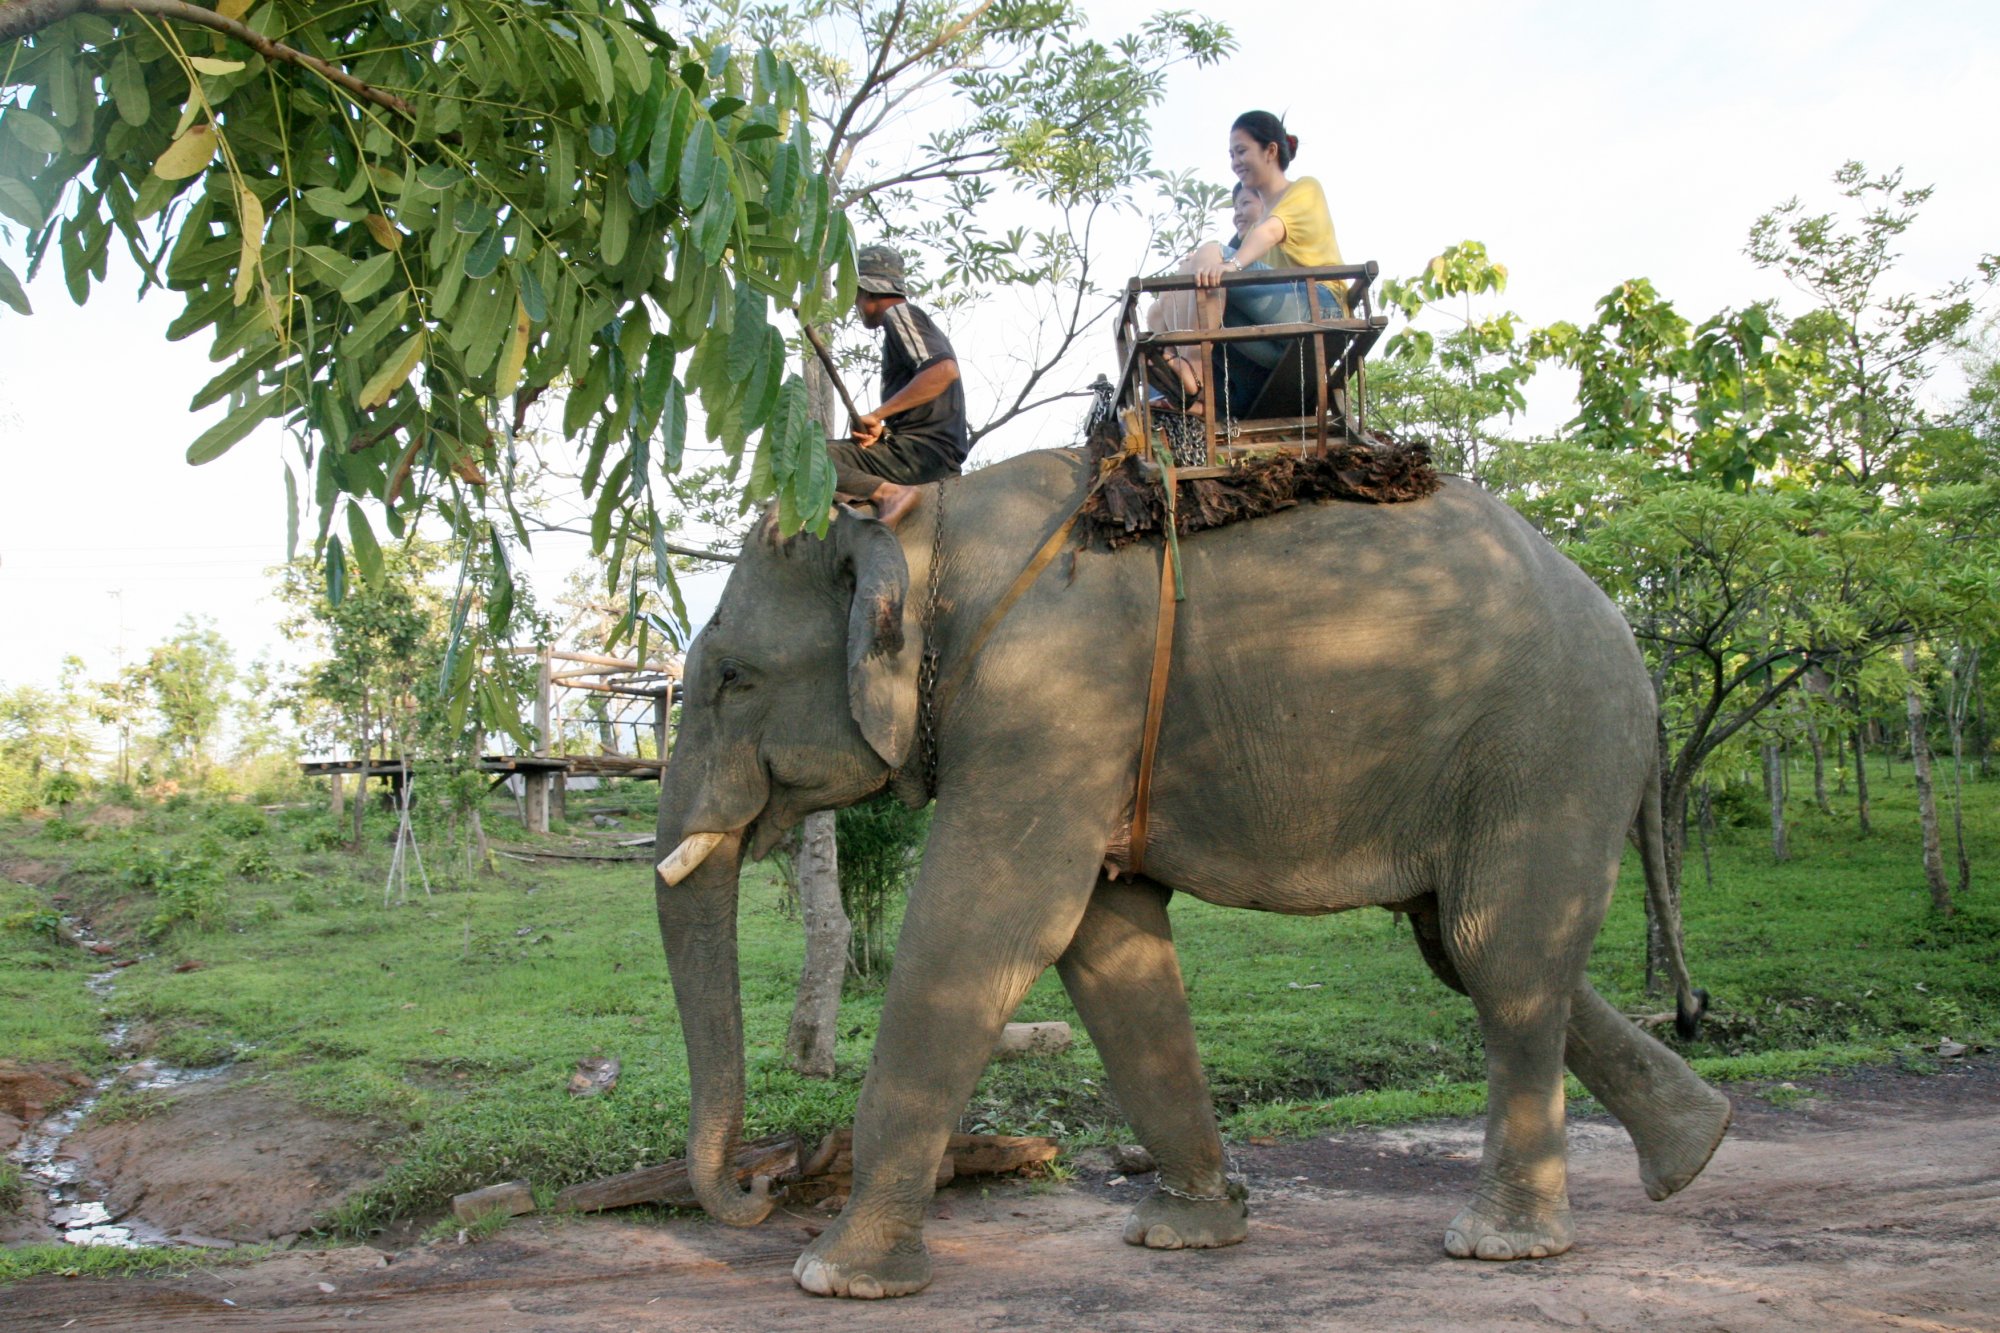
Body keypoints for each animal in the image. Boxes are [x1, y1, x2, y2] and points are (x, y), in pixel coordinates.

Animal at [660, 444, 1736, 1288]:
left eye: (732, 678)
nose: (763, 1184)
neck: (925, 521)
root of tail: (1635, 652)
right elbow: (1109, 947)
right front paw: (1184, 1235)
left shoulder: (1052, 697)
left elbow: (987, 923)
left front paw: (832, 1276)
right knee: (1468, 947)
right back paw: (1697, 1149)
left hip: (1545, 747)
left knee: (1494, 951)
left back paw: (1503, 1244)